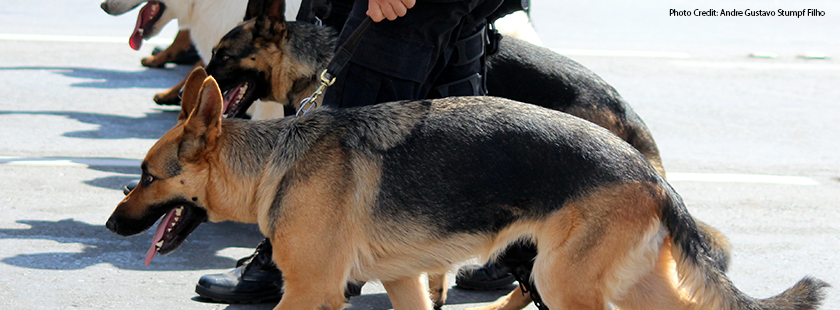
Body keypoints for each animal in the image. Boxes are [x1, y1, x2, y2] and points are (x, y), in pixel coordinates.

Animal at [106, 68, 828, 310]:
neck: (277, 161)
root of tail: (648, 172)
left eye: (147, 177)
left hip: (563, 283)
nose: (112, 227)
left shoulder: (309, 291)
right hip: (624, 284)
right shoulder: (405, 282)